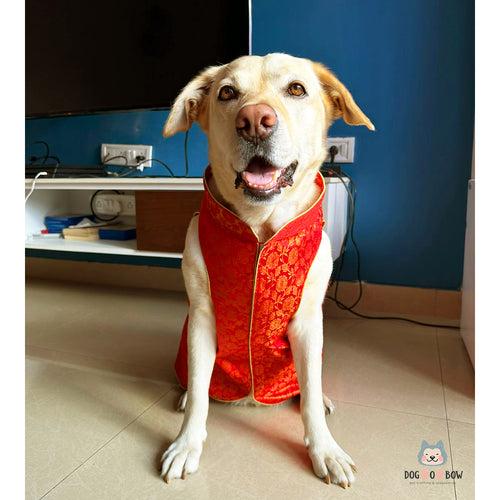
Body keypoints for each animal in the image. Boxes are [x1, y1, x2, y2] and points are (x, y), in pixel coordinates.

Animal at [158, 52, 374, 486]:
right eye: (227, 93)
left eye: (296, 88)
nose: (255, 119)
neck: (260, 225)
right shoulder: (203, 317)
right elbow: (200, 392)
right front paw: (187, 443)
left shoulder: (307, 322)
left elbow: (309, 398)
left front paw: (325, 449)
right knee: (196, 381)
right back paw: (188, 393)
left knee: (310, 383)